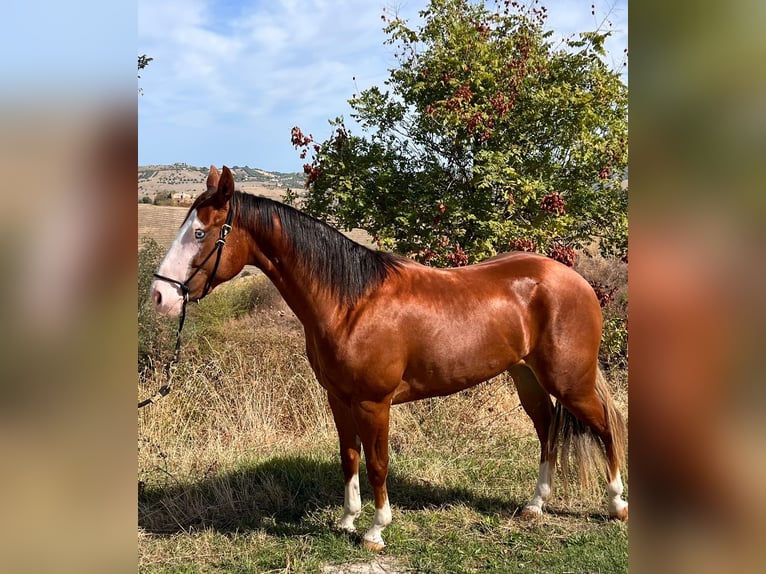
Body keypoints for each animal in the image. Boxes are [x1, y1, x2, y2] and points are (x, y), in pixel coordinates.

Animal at [150, 165, 628, 550]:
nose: (159, 296)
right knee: (547, 428)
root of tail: (575, 281)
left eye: (200, 233)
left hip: (570, 381)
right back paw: (535, 505)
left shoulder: (373, 403)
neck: (350, 303)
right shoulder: (339, 400)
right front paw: (347, 520)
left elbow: (378, 463)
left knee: (605, 425)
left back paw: (616, 504)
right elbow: (349, 457)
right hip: (526, 377)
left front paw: (376, 530)